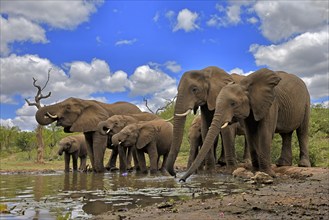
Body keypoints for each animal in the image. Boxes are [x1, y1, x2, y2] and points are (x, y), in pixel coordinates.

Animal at [179, 68, 310, 181]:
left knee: (302, 131)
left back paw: (303, 165)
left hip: (306, 102)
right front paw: (256, 171)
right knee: (286, 134)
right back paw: (282, 163)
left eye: (194, 89)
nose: (181, 179)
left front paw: (268, 174)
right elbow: (250, 132)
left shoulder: (271, 103)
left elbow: (264, 132)